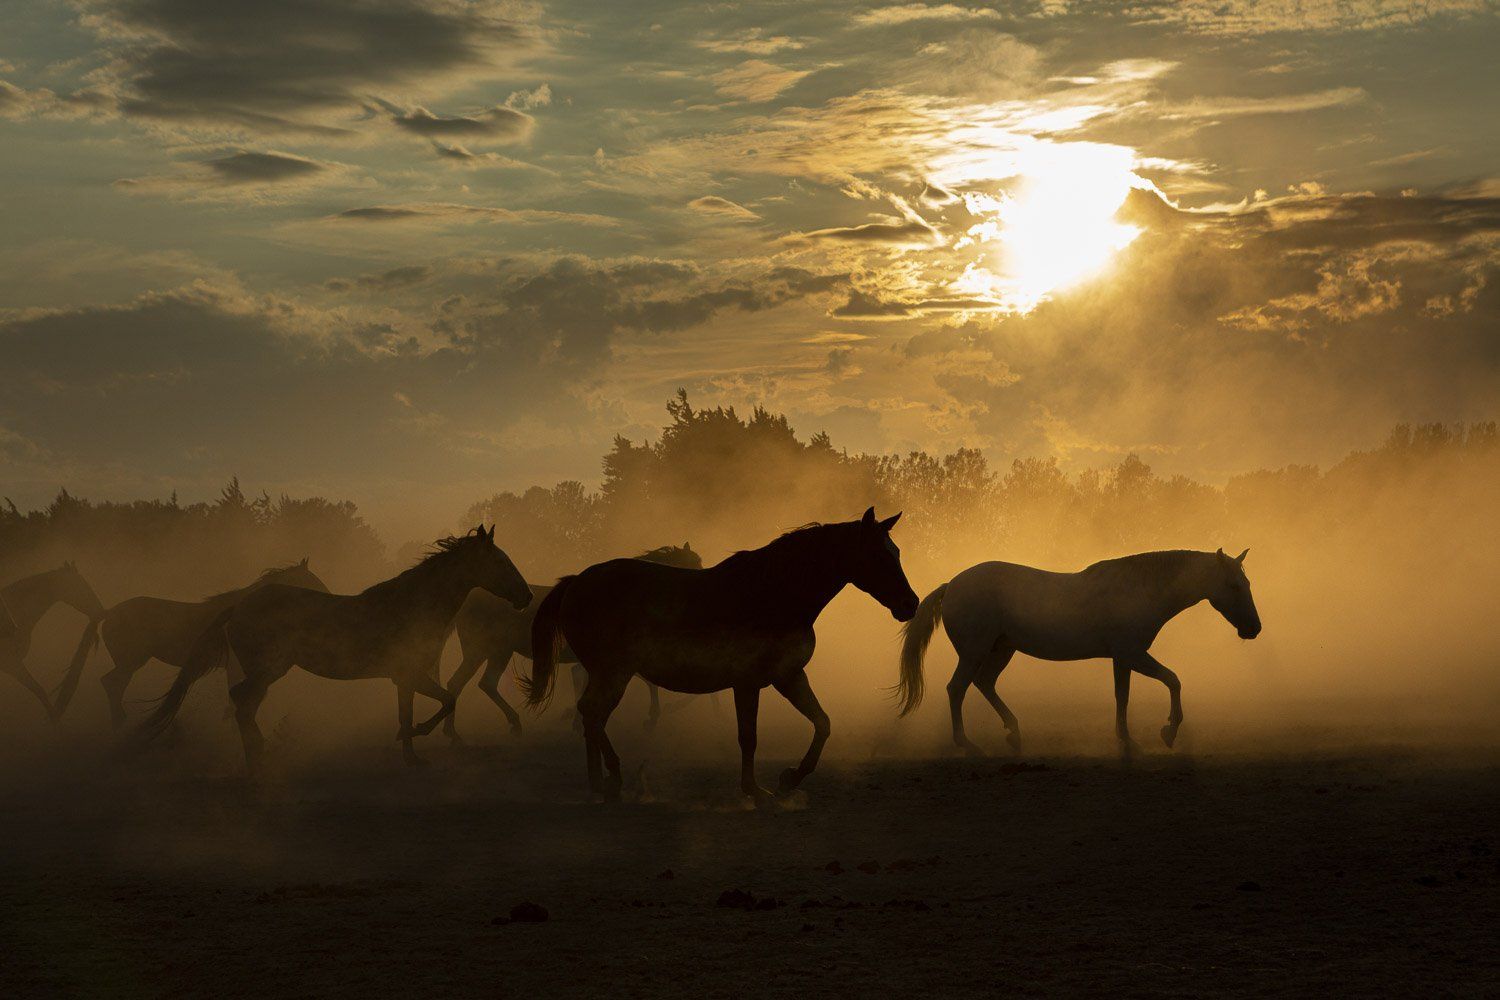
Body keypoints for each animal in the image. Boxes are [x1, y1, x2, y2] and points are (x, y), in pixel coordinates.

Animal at [54, 559, 329, 725]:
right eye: (313, 582)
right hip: (131, 662)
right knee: (111, 684)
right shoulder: (236, 667)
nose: (328, 597)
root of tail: (109, 612)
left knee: (114, 685)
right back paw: (121, 723)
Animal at [139, 526, 530, 771]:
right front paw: (417, 735)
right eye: (499, 561)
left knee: (244, 704)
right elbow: (447, 701)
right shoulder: (412, 674)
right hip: (268, 669)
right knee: (241, 702)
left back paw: (259, 756)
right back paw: (258, 760)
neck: (413, 603)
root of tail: (240, 605)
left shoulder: (404, 678)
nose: (526, 596)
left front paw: (411, 756)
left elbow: (409, 712)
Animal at [435, 543, 704, 743]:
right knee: (476, 683)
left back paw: (454, 731)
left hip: (490, 652)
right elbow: (647, 683)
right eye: (693, 565)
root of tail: (468, 600)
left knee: (468, 683)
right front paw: (651, 719)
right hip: (490, 650)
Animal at [523, 508, 919, 802]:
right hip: (613, 673)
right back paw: (615, 778)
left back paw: (598, 782)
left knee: (591, 716)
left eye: (897, 552)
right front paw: (755, 790)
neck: (775, 593)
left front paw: (790, 779)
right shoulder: (747, 683)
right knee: (592, 713)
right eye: (878, 554)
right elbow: (749, 736)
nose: (910, 603)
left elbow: (822, 723)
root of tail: (576, 582)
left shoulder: (788, 676)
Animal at [895, 548, 1262, 756]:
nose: (1253, 629)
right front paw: (1168, 731)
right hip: (975, 652)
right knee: (957, 689)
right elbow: (1173, 680)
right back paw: (968, 744)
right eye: (1233, 585)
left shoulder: (1122, 658)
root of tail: (952, 585)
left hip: (1002, 649)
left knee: (984, 684)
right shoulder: (1132, 654)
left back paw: (1014, 733)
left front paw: (1127, 740)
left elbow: (1123, 696)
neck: (1139, 589)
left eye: (1246, 583)